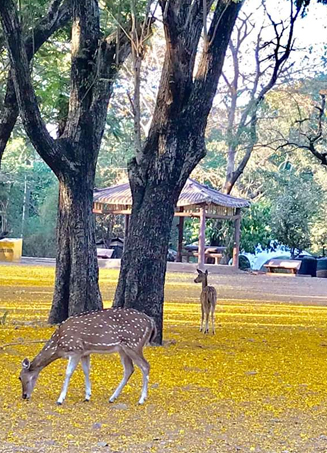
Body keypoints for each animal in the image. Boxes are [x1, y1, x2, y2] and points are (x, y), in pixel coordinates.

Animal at [18, 306, 158, 404]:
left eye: (20, 377)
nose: (24, 396)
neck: (58, 345)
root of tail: (151, 322)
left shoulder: (76, 349)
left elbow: (68, 373)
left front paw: (60, 399)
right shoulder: (85, 352)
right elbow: (86, 370)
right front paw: (87, 396)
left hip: (133, 344)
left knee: (145, 366)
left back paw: (141, 399)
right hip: (123, 349)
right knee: (129, 369)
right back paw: (112, 398)